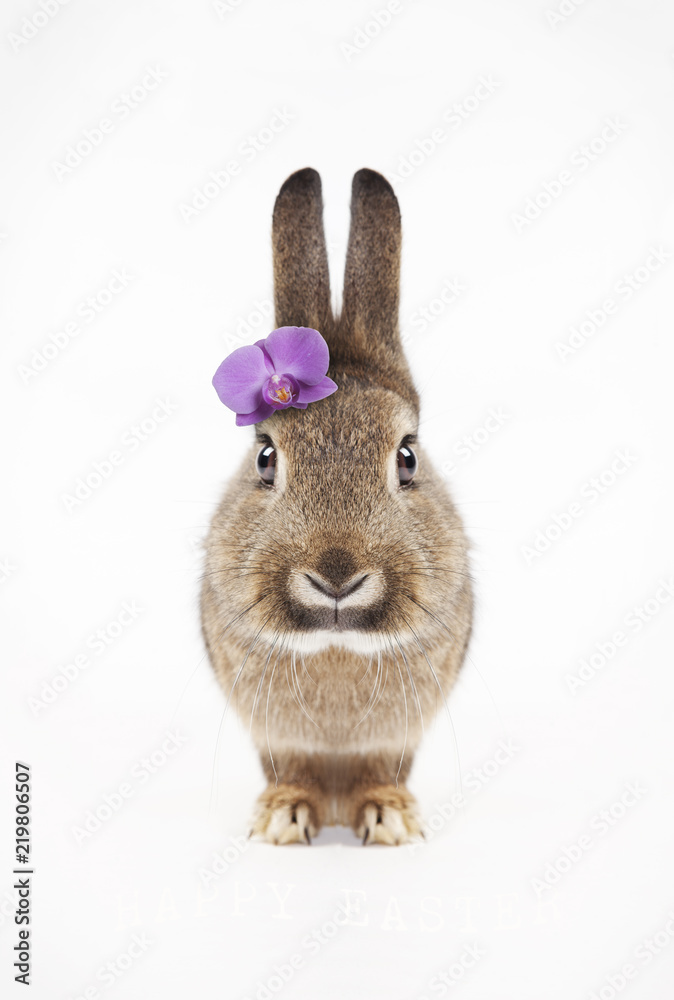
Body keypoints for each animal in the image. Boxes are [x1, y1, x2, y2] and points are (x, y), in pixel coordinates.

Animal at [201, 167, 473, 845]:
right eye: (265, 458)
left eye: (407, 458)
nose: (336, 578)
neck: (337, 645)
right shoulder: (275, 735)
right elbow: (288, 766)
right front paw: (281, 819)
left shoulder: (397, 736)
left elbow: (384, 767)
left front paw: (391, 820)